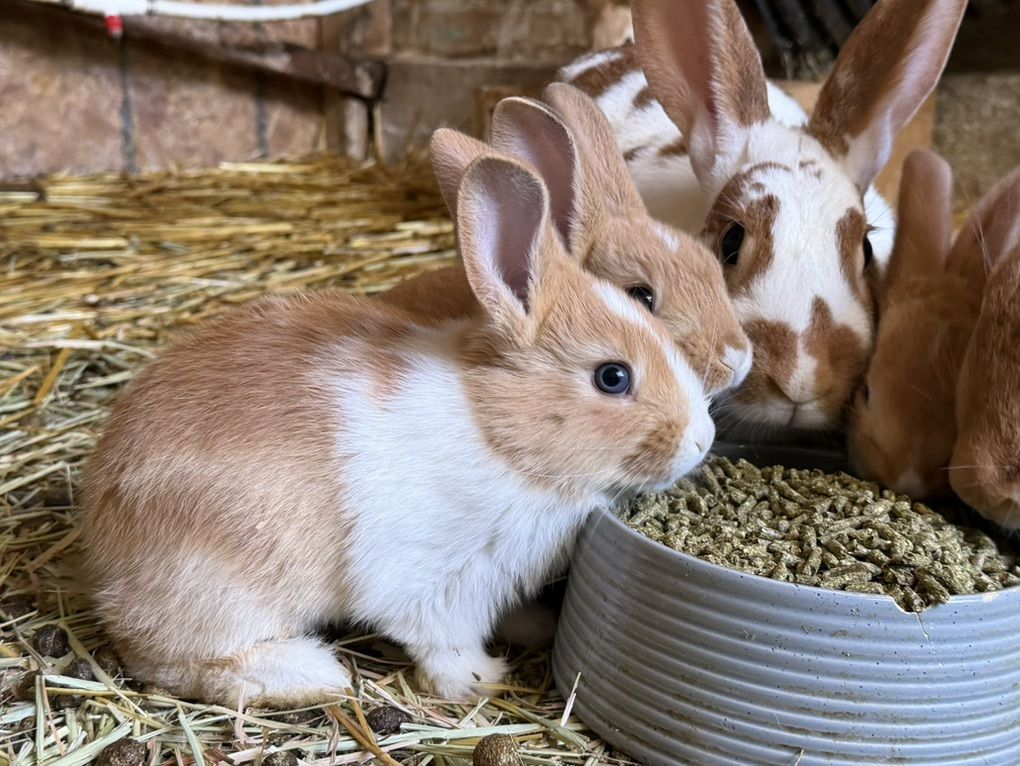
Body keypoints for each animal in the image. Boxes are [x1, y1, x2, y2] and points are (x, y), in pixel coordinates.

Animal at [79, 146, 715, 708]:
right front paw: (480, 679)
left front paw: (533, 626)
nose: (701, 439)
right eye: (613, 377)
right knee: (169, 659)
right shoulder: (436, 584)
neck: (498, 436)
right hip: (220, 588)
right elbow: (443, 644)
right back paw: (314, 673)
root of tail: (101, 530)